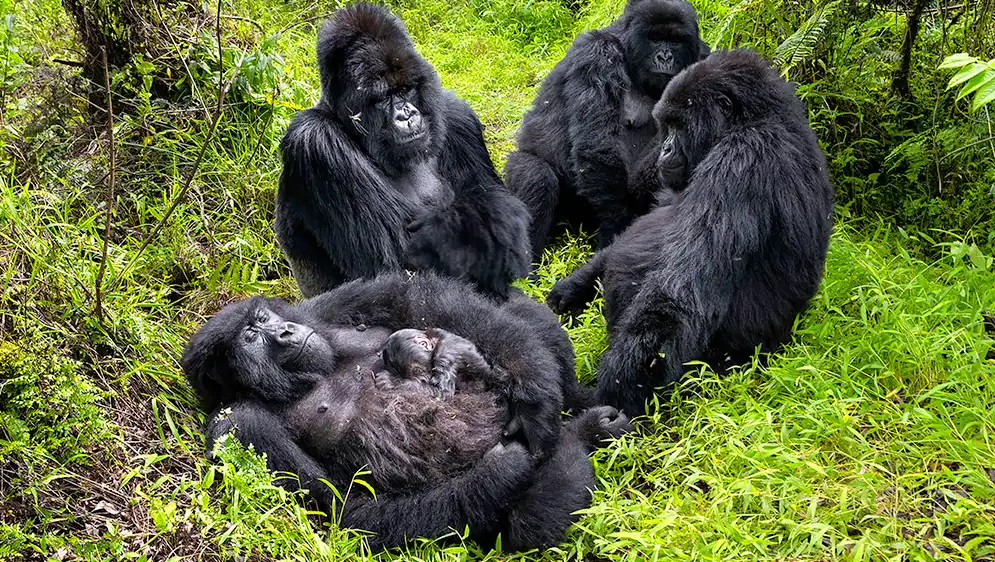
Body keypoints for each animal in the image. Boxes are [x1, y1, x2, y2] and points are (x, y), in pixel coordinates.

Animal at [182, 272, 620, 548]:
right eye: (253, 338)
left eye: (264, 317)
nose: (284, 332)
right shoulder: (240, 427)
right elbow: (345, 511)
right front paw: (503, 466)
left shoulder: (319, 311)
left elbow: (407, 296)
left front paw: (535, 395)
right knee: (527, 528)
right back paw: (583, 433)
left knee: (518, 313)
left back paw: (579, 404)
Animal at [274, 3, 528, 298]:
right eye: (384, 97)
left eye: (406, 89)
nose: (406, 115)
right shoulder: (316, 142)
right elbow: (397, 269)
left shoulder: (456, 115)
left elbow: (499, 211)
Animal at [510, 0, 712, 260]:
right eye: (655, 38)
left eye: (675, 41)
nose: (665, 57)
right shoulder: (597, 54)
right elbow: (597, 145)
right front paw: (614, 232)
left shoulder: (704, 59)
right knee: (534, 174)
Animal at [548, 49, 836, 416]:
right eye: (667, 126)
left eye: (678, 125)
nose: (665, 149)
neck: (757, 119)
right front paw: (574, 288)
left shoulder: (742, 158)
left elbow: (678, 293)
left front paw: (615, 395)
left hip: (720, 368)